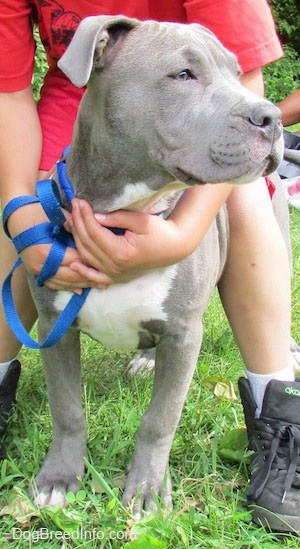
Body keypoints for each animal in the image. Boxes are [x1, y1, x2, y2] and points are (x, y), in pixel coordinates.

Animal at [29, 16, 284, 512]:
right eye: (183, 74)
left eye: (236, 73)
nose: (272, 117)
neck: (122, 219)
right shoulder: (55, 326)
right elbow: (66, 409)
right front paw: (59, 478)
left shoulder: (184, 335)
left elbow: (160, 418)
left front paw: (146, 490)